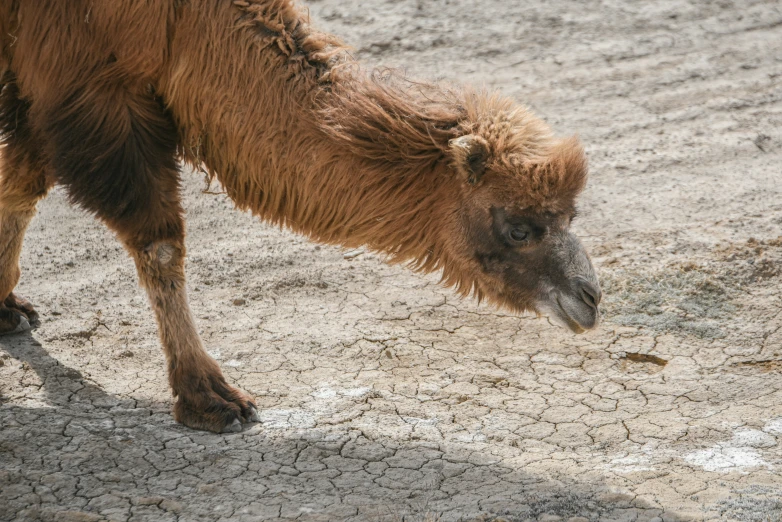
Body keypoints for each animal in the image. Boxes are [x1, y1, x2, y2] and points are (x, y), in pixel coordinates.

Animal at [0, 0, 600, 430]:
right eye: (519, 228)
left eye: (571, 217)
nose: (589, 299)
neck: (185, 23)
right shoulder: (89, 87)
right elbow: (159, 240)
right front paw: (210, 398)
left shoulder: (40, 85)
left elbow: (20, 182)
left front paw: (6, 307)